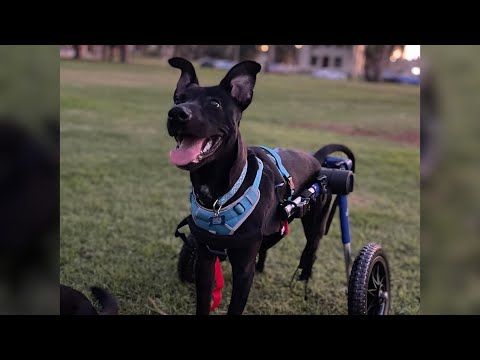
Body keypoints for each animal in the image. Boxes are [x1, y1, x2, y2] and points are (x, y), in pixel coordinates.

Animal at [167, 57, 350, 314]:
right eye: (178, 100)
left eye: (214, 103)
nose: (176, 113)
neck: (219, 195)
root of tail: (316, 159)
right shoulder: (205, 258)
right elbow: (203, 302)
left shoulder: (244, 268)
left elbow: (235, 306)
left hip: (315, 222)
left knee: (311, 251)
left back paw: (304, 280)